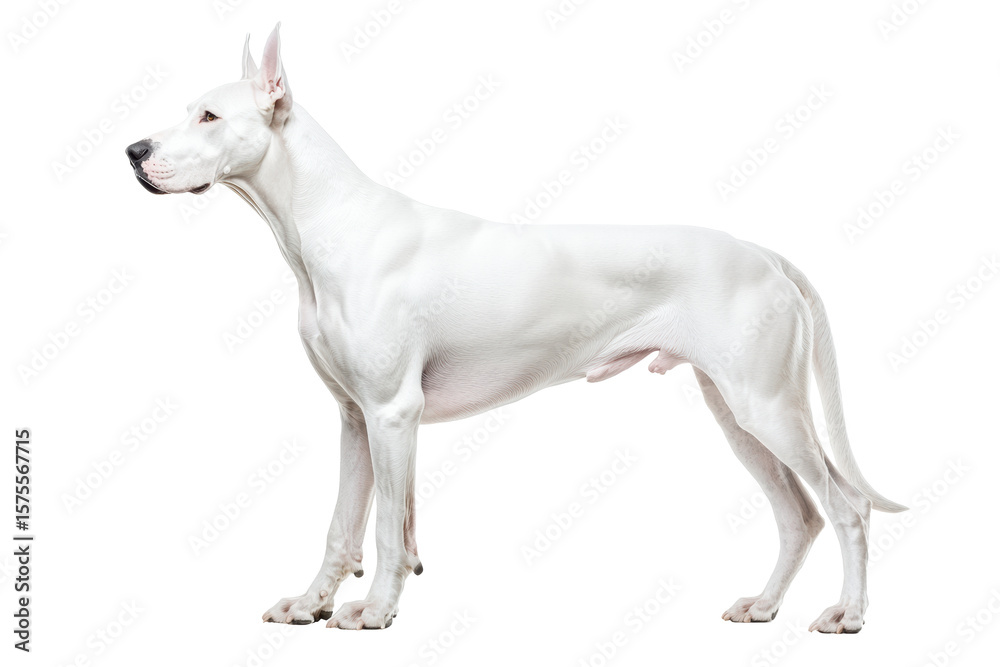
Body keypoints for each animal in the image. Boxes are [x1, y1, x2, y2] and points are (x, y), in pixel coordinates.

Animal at [125, 24, 906, 633]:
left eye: (208, 116)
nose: (134, 151)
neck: (323, 225)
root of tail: (765, 252)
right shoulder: (354, 416)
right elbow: (343, 524)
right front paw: (310, 603)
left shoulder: (391, 412)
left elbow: (384, 526)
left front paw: (374, 611)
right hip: (738, 413)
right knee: (799, 516)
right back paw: (765, 606)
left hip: (768, 408)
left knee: (847, 509)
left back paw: (849, 614)